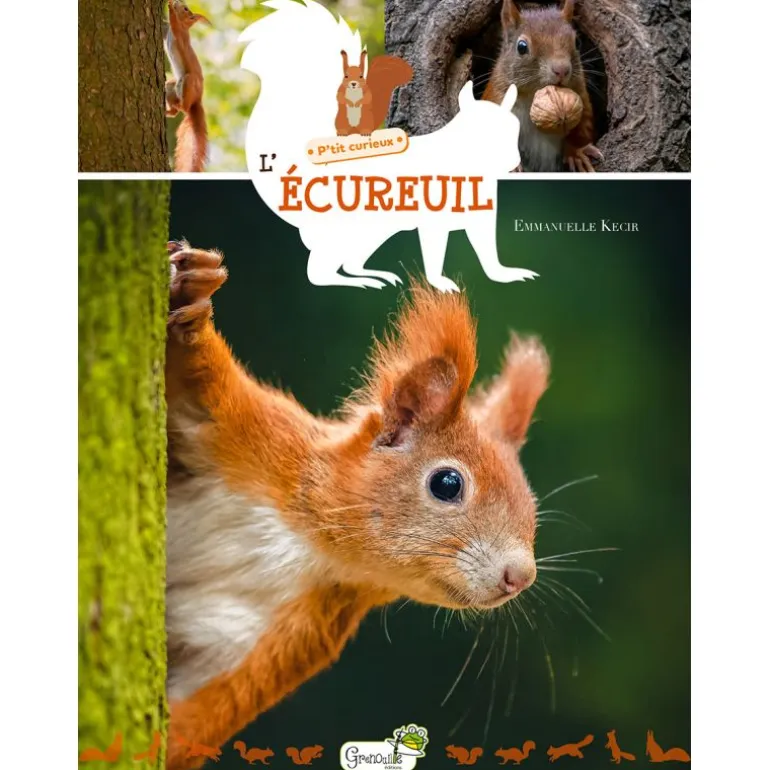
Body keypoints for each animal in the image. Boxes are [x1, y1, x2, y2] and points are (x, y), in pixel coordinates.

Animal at [163, 0, 211, 172]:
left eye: (186, 9)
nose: (179, 2)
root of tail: (197, 100)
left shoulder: (178, 33)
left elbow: (173, 21)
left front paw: (170, 6)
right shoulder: (167, 32)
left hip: (188, 81)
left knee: (184, 108)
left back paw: (180, 106)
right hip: (170, 87)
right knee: (175, 112)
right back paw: (167, 111)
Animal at [163, 240, 549, 770]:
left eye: (532, 504)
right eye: (448, 483)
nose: (521, 576)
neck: (308, 543)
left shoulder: (280, 638)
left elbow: (198, 712)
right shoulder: (248, 433)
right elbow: (202, 379)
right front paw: (194, 299)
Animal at [482, 0, 601, 172]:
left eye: (577, 42)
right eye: (522, 47)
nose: (562, 70)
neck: (532, 95)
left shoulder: (582, 97)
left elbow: (582, 129)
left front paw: (576, 153)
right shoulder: (497, 98)